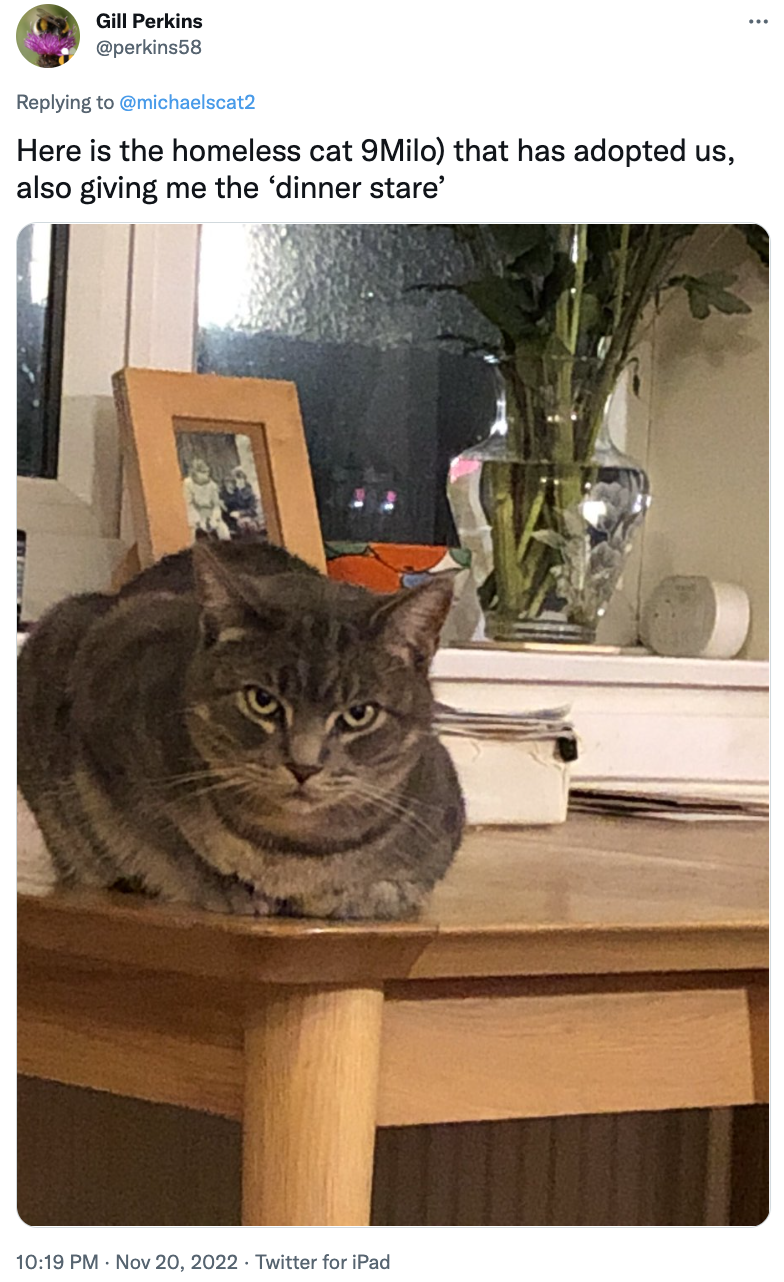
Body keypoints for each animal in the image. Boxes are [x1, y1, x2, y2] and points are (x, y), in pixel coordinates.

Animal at [17, 541, 465, 920]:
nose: (303, 766)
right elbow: (162, 840)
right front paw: (230, 887)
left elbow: (389, 886)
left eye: (359, 714)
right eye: (261, 700)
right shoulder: (101, 739)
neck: (291, 852)